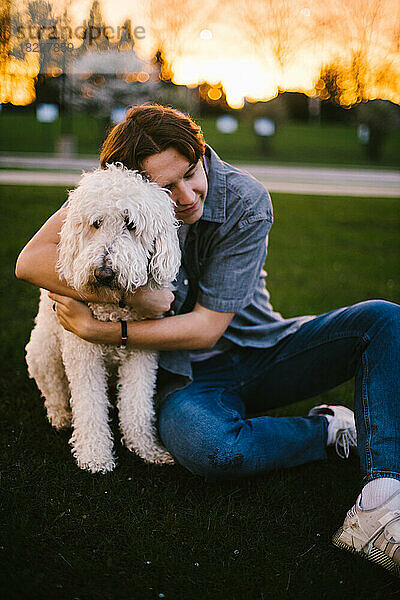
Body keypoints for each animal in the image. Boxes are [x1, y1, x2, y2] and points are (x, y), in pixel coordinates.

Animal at [24, 164, 180, 474]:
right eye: (95, 223)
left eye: (131, 225)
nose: (104, 272)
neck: (113, 308)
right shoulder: (83, 354)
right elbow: (89, 406)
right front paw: (94, 456)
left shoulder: (141, 354)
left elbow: (137, 405)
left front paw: (147, 448)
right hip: (43, 353)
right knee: (54, 390)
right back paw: (60, 416)